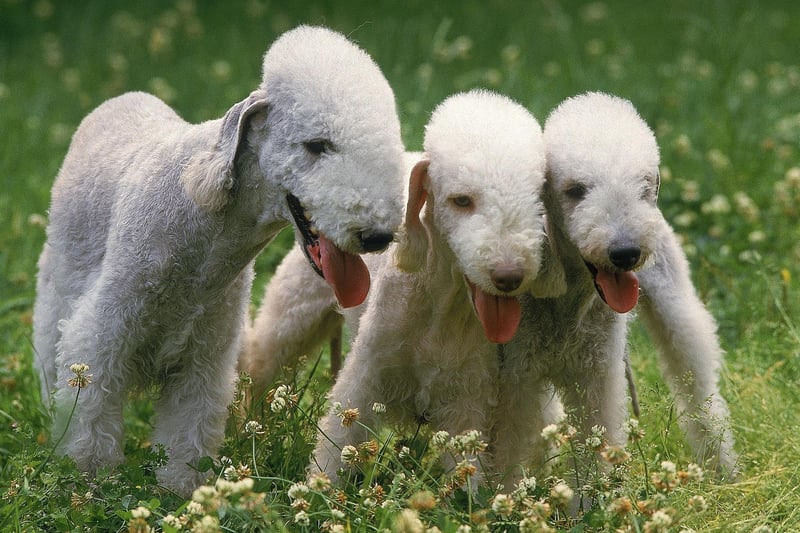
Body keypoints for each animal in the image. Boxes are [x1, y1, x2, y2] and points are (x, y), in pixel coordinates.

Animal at [31, 26, 406, 494]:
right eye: (316, 145)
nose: (377, 236)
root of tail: (119, 101)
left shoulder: (205, 358)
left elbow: (188, 433)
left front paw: (180, 492)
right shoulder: (103, 337)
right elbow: (91, 423)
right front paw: (91, 485)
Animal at [310, 90, 564, 482]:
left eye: (537, 200)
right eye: (461, 200)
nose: (509, 276)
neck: (443, 306)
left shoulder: (468, 398)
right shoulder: (366, 374)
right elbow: (335, 442)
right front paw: (317, 490)